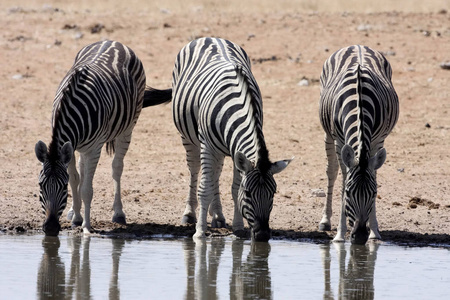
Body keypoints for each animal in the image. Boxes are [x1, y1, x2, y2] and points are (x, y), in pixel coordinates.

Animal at [34, 40, 171, 237]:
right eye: (40, 185)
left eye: (63, 187)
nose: (51, 229)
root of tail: (113, 41)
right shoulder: (70, 149)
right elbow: (75, 178)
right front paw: (77, 217)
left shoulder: (94, 147)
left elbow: (86, 189)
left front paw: (86, 227)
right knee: (83, 170)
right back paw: (74, 212)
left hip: (128, 128)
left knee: (117, 167)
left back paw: (118, 214)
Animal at [172, 37, 292, 243]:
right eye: (249, 193)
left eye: (273, 193)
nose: (262, 235)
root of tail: (211, 37)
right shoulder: (207, 146)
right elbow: (204, 188)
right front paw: (199, 232)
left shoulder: (237, 149)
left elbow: (234, 188)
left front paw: (238, 228)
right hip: (189, 138)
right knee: (195, 169)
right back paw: (190, 214)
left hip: (220, 150)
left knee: (216, 173)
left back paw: (218, 216)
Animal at [318, 44, 400, 244]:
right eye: (348, 193)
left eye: (374, 193)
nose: (360, 236)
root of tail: (357, 45)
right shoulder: (340, 142)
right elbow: (343, 178)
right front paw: (340, 234)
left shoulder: (378, 140)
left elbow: (374, 175)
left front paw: (374, 231)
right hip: (327, 134)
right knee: (331, 172)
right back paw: (325, 221)